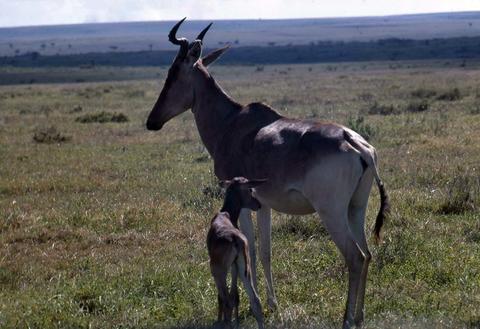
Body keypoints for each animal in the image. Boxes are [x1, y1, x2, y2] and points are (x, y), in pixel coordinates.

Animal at [207, 177, 266, 328]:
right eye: (250, 190)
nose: (258, 205)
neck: (226, 215)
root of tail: (235, 239)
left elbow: (223, 297)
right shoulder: (235, 267)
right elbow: (236, 295)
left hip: (218, 270)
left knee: (226, 299)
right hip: (244, 268)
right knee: (255, 299)